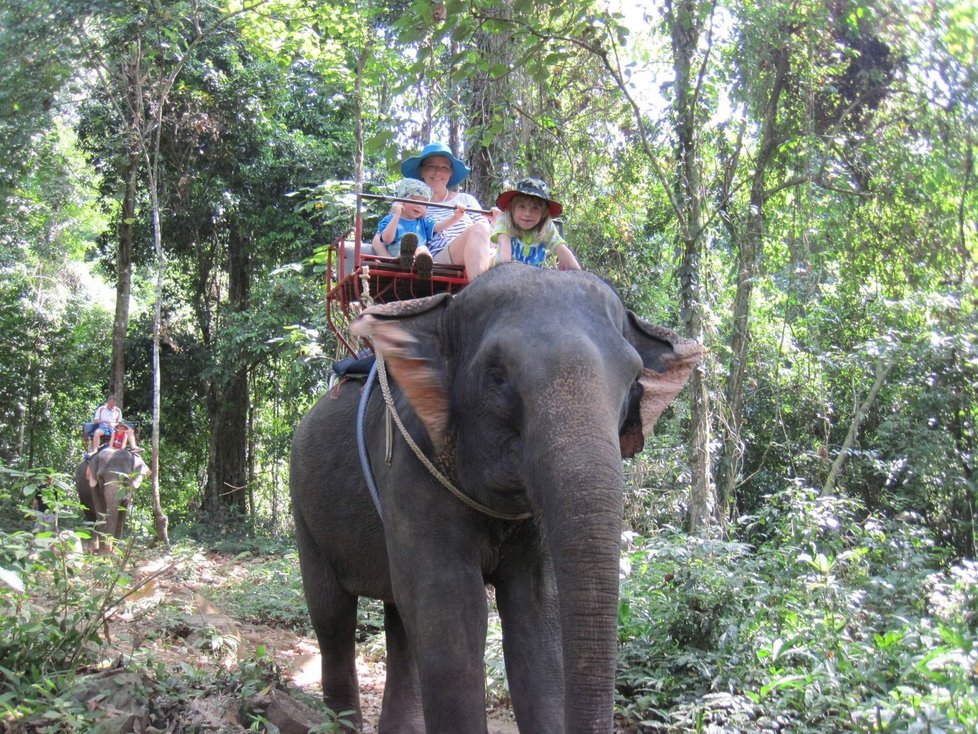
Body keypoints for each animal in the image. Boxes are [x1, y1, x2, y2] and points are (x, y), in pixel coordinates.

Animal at [290, 264, 700, 734]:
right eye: (497, 376)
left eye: (634, 380)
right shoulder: (410, 467)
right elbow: (451, 611)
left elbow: (536, 615)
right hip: (305, 507)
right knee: (332, 616)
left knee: (399, 618)